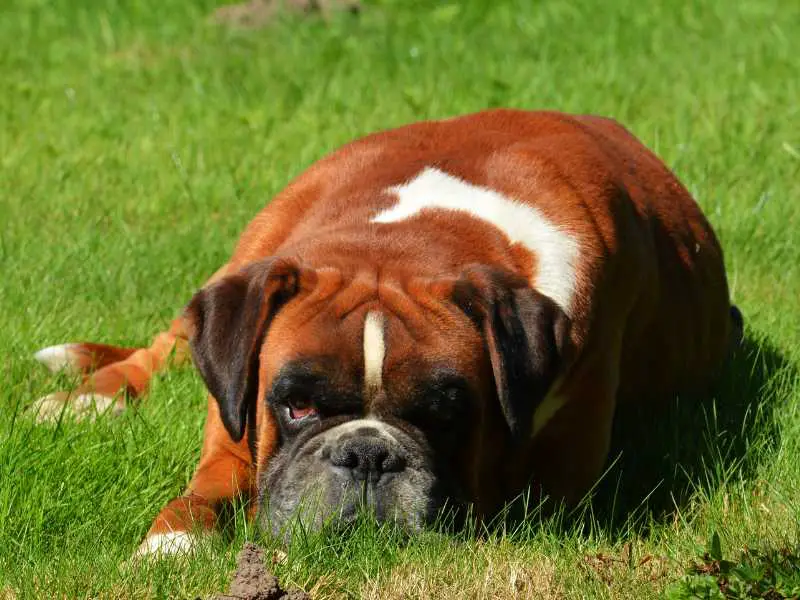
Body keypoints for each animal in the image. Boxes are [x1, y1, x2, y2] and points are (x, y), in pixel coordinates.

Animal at [32, 109, 744, 556]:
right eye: (297, 406)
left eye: (443, 415)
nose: (368, 455)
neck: (405, 241)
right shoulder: (232, 433)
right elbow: (201, 495)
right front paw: (170, 545)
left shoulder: (554, 484)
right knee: (168, 342)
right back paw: (86, 396)